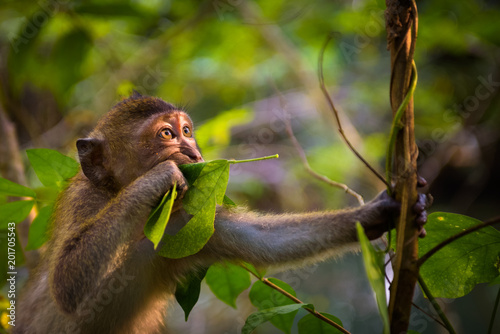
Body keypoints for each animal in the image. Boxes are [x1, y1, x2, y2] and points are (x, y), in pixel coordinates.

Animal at [17, 92, 428, 332]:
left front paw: (383, 212)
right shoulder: (85, 201)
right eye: (167, 135)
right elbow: (67, 284)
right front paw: (157, 179)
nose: (193, 154)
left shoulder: (188, 221)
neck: (145, 222)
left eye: (187, 131)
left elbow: (265, 243)